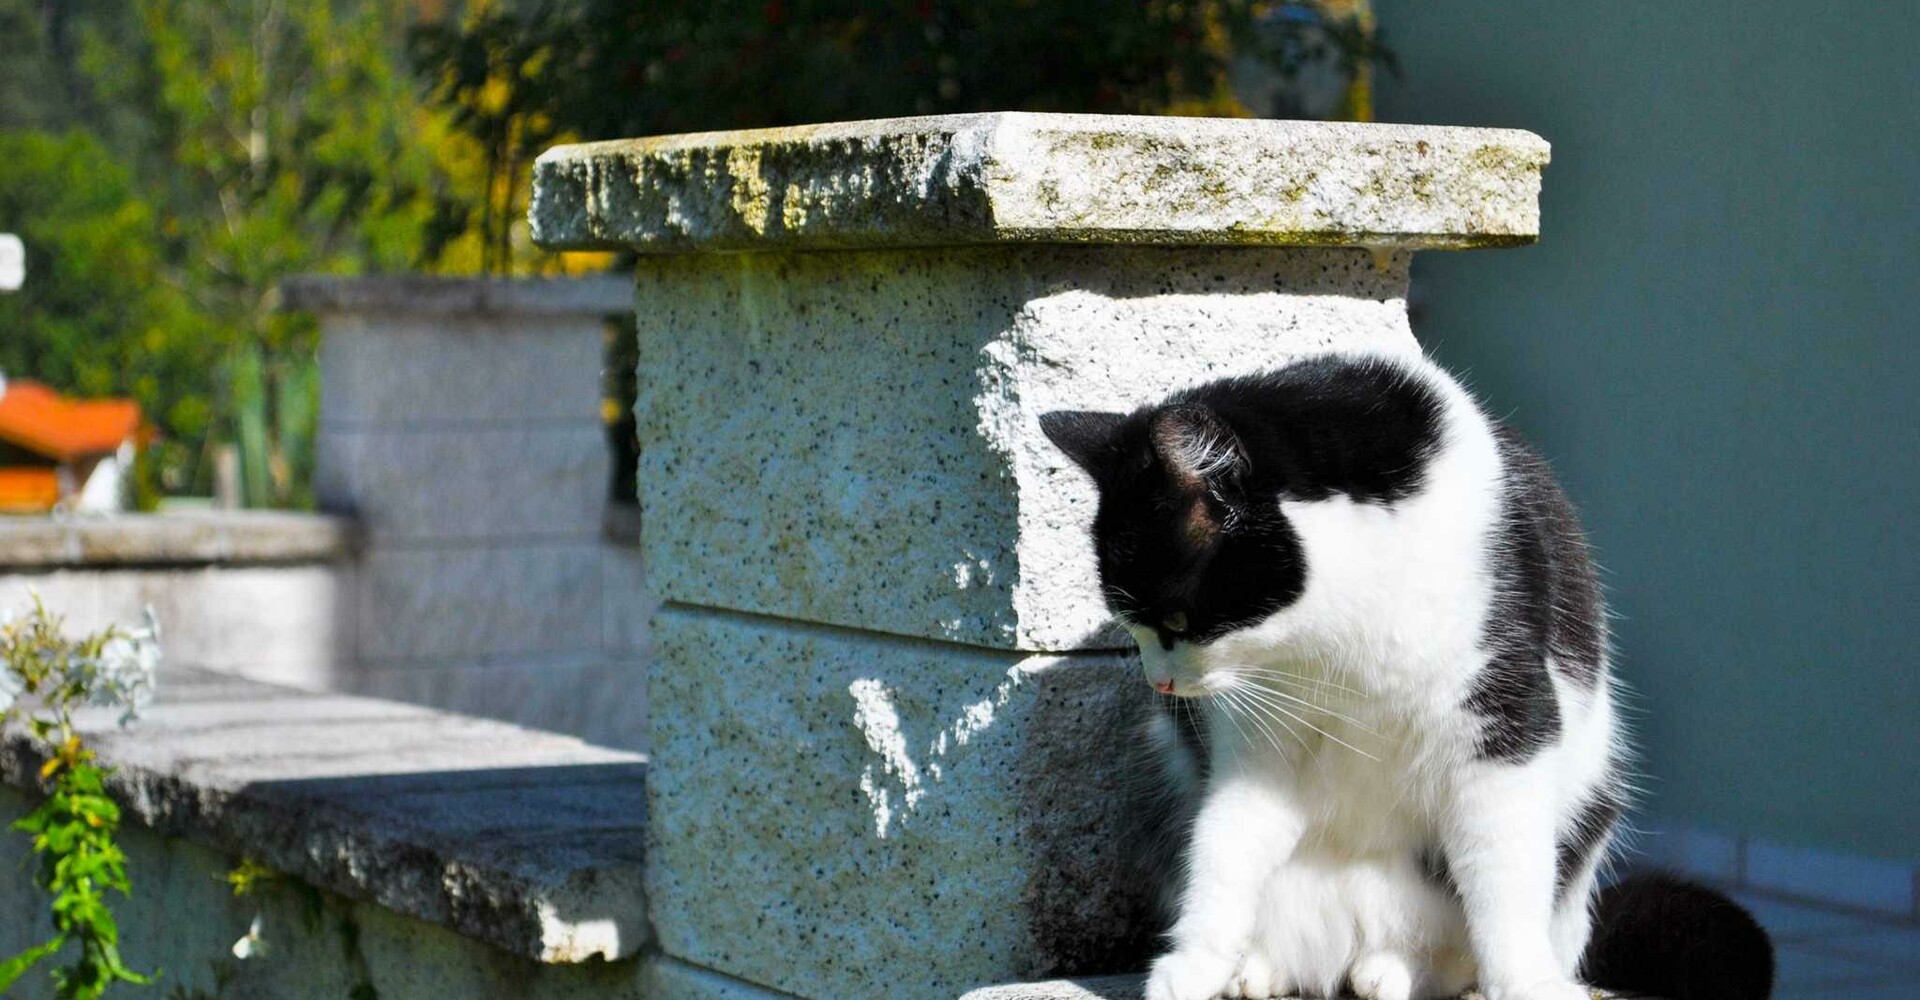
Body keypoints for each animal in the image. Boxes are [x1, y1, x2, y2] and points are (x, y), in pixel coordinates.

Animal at [1044, 349, 1774, 998]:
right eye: (1131, 625)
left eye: (1174, 619)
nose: (1159, 684)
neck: (1340, 631)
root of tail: (1353, 941)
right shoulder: (1258, 741)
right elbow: (1229, 841)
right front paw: (1196, 964)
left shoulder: (1502, 719)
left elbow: (1504, 870)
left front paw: (1525, 983)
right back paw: (1263, 969)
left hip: (1585, 814)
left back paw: (1399, 971)